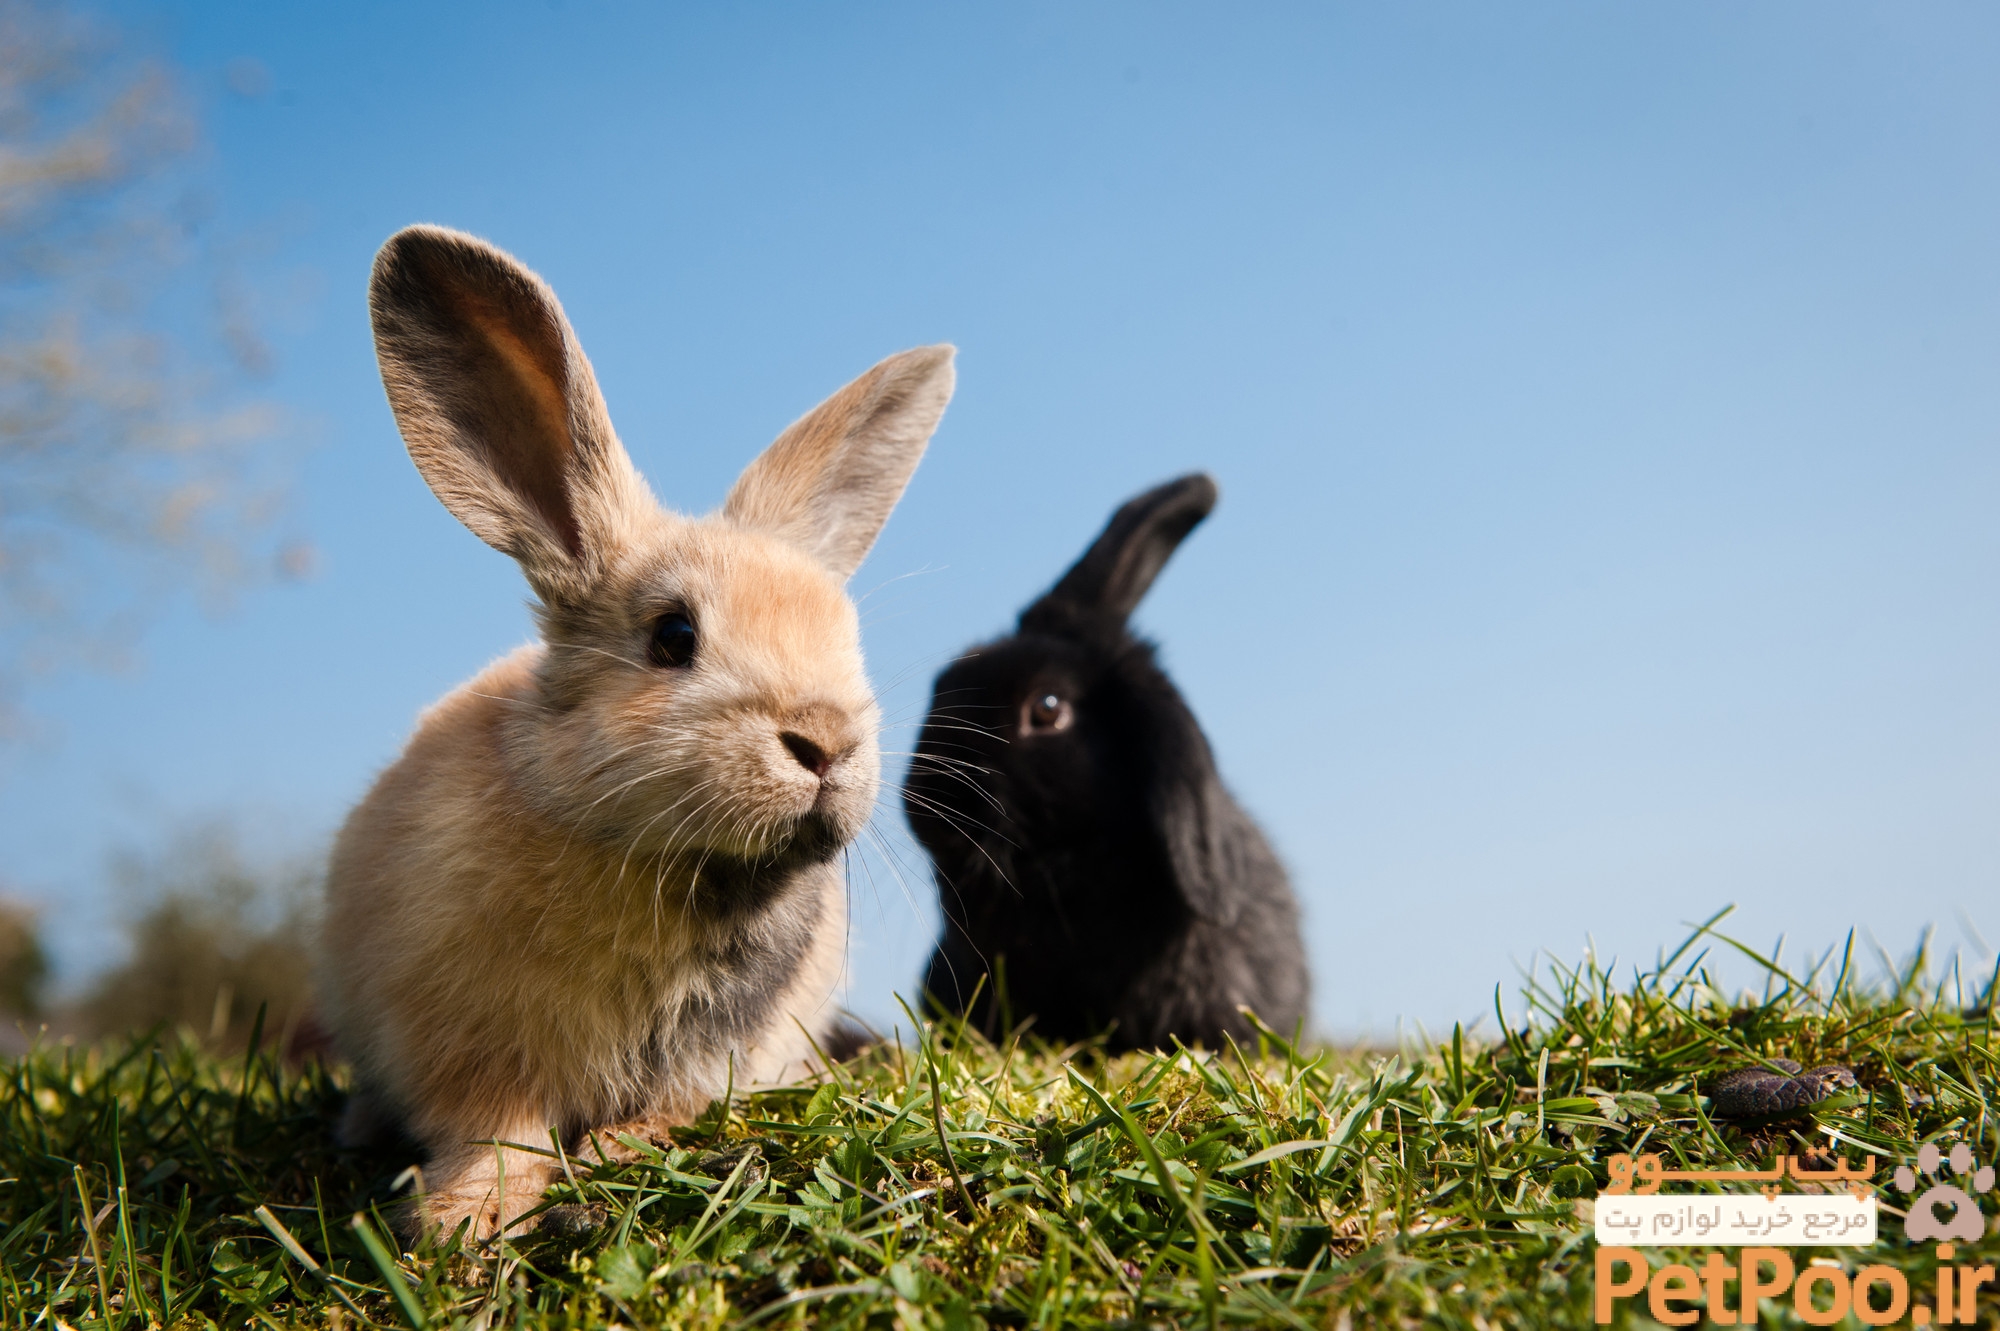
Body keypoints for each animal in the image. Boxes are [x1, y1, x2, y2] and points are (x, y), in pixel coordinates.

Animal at [318, 225, 954, 1240]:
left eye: (846, 640)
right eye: (673, 636)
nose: (825, 742)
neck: (670, 865)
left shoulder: (725, 1054)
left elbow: (676, 1110)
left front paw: (615, 1153)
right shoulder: (468, 1050)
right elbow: (500, 1129)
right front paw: (464, 1217)